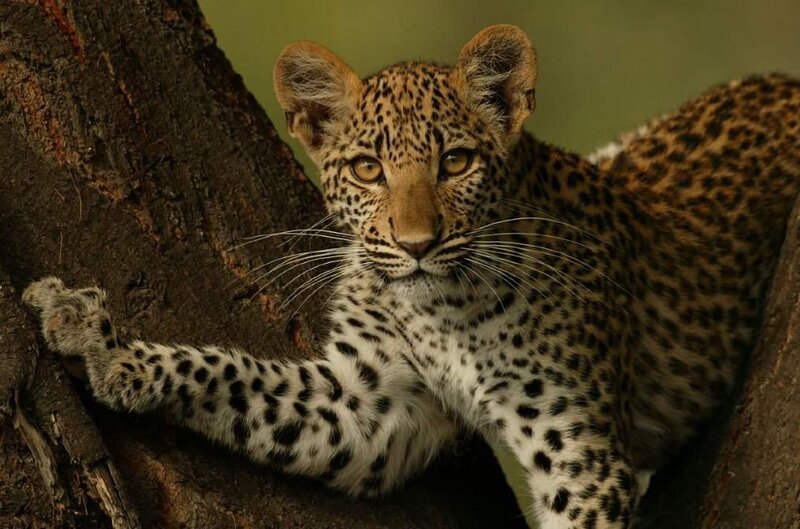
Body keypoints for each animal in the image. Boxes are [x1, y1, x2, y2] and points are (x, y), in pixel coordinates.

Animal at [21, 24, 800, 529]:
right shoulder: (368, 403)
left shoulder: (579, 456)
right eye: (369, 169)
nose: (417, 244)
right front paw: (100, 343)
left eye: (455, 162)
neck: (445, 309)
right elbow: (228, 376)